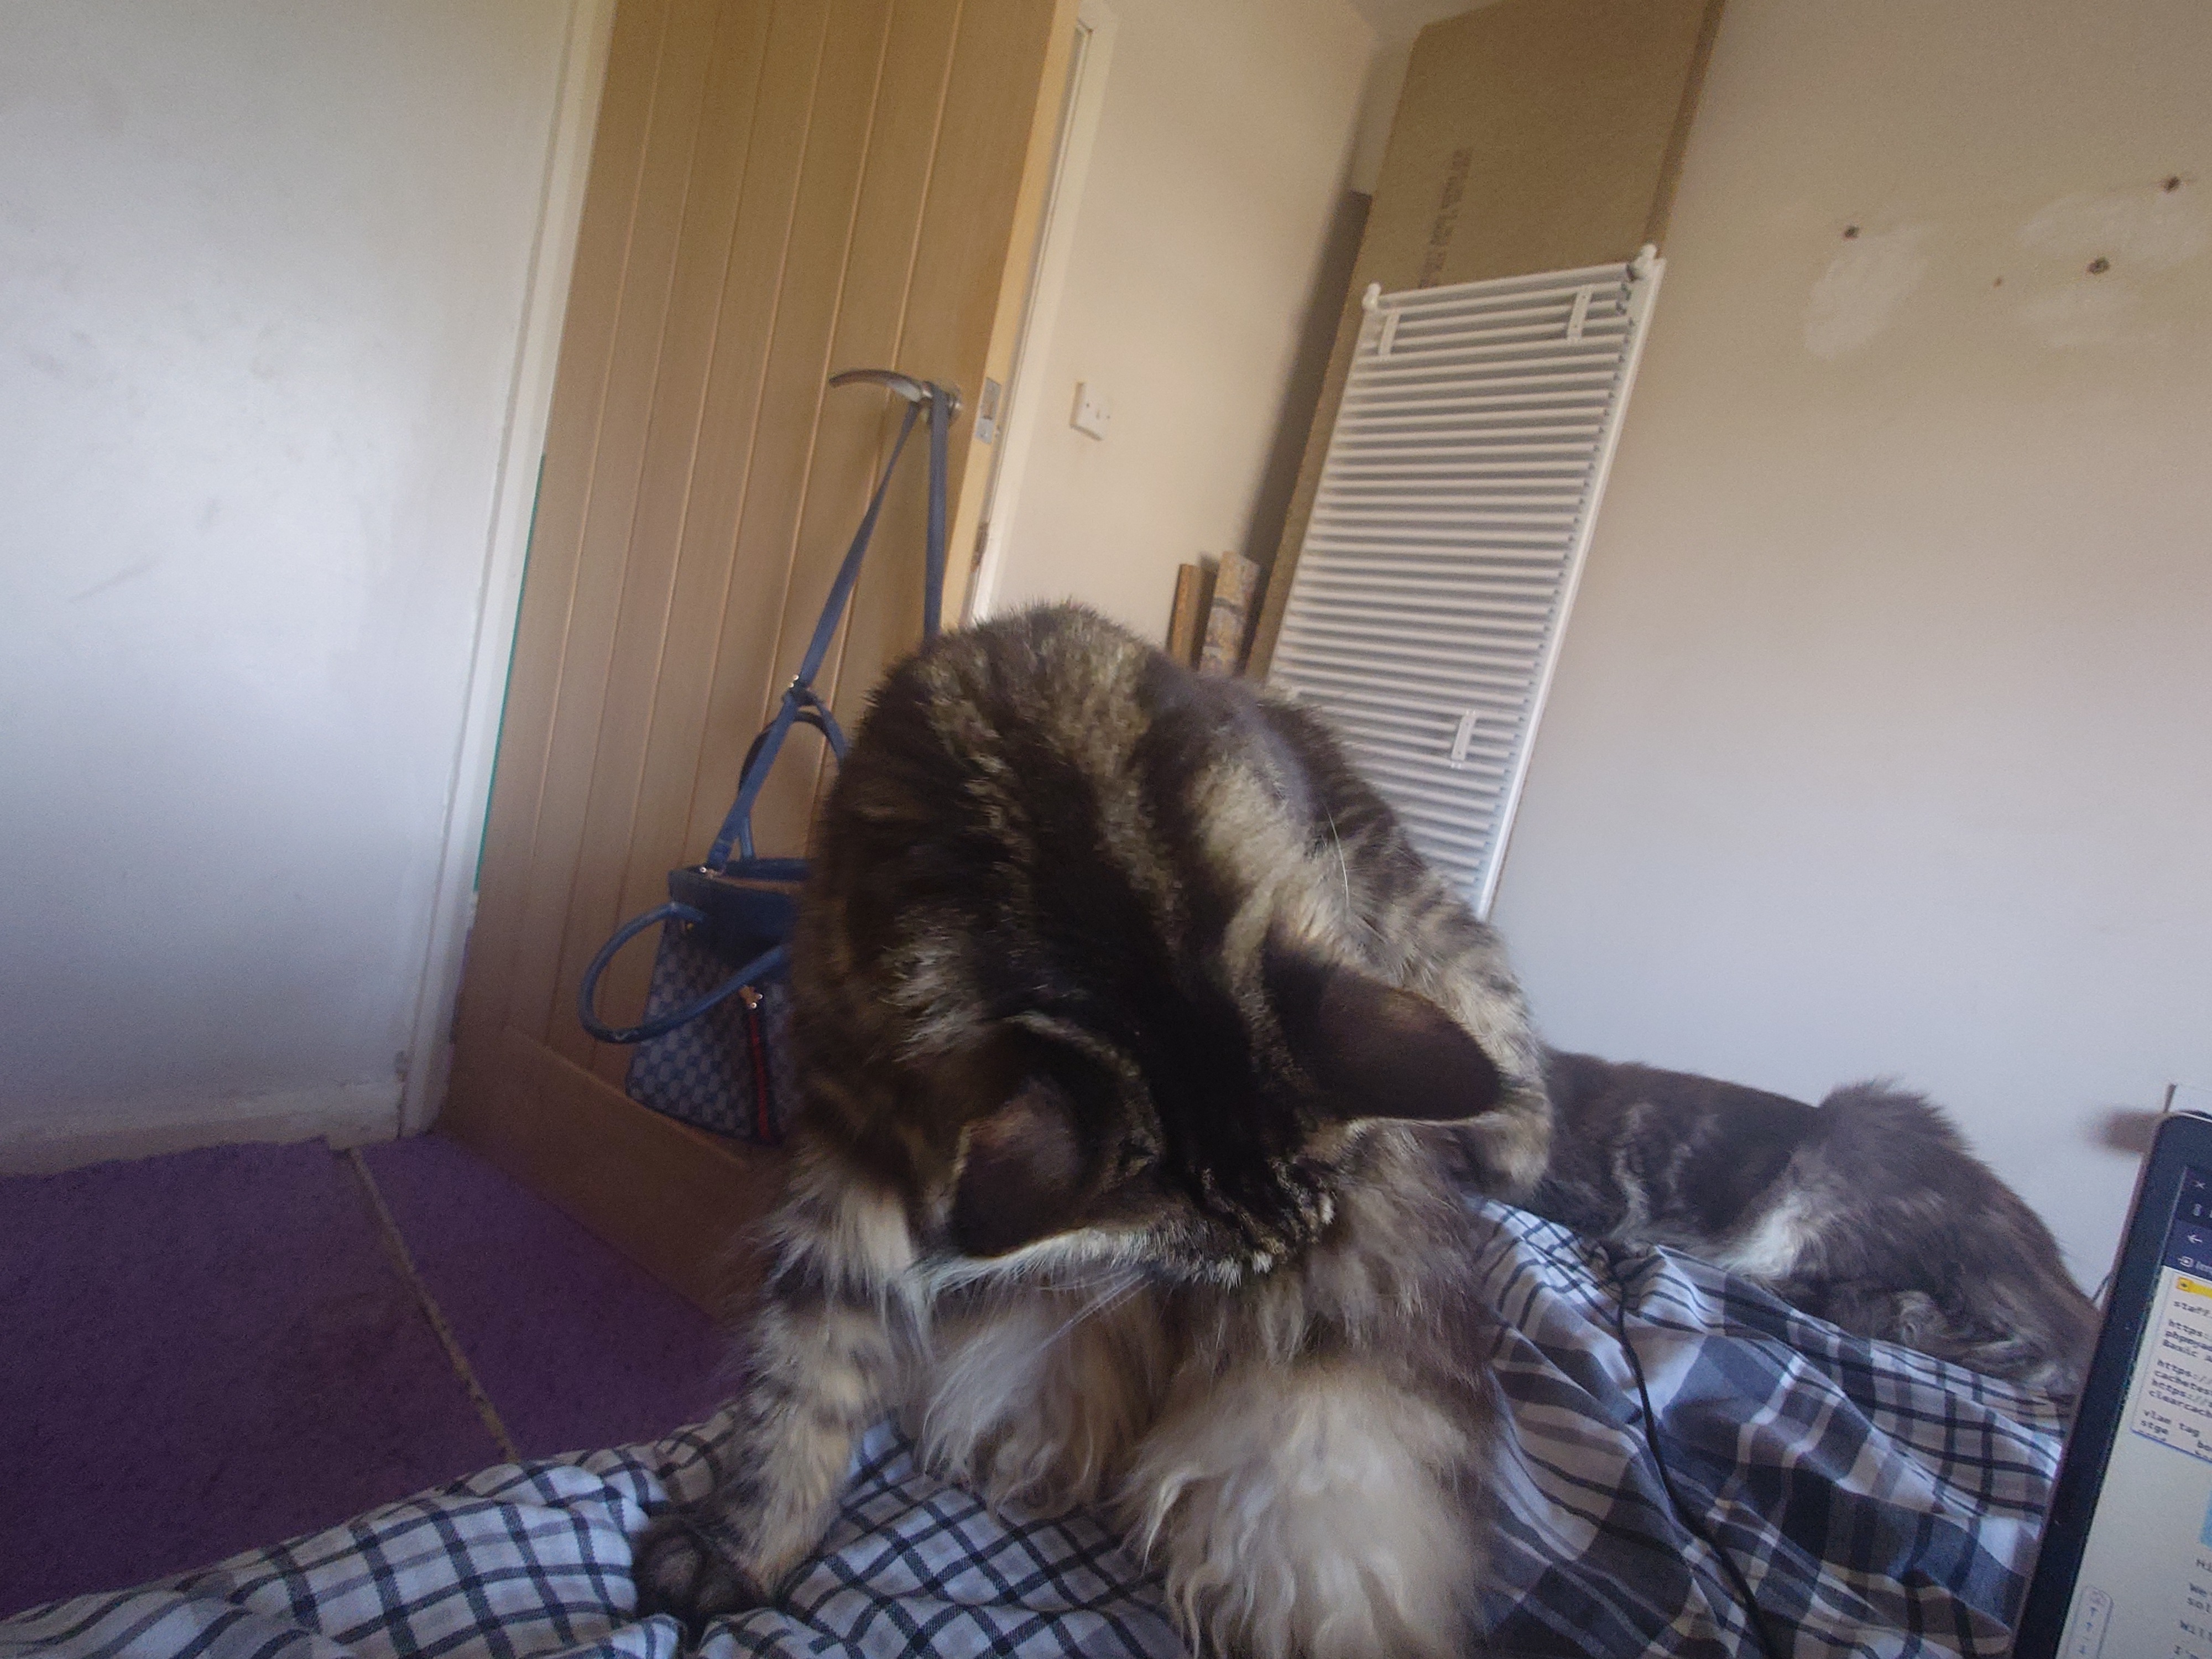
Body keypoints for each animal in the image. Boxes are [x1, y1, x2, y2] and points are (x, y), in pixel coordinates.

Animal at [636, 602, 1551, 1659]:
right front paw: (747, 1547)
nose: (1273, 1270)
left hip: (1393, 902)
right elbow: (807, 1368)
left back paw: (1515, 1144)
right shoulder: (854, 1119)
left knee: (1490, 1000)